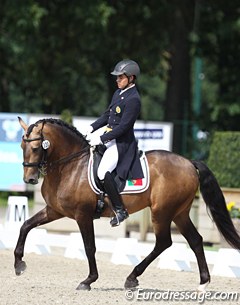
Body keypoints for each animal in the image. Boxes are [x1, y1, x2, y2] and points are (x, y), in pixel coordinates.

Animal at [15, 116, 240, 290]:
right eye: (22, 146)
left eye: (36, 147)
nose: (30, 179)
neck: (70, 166)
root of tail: (189, 163)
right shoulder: (54, 211)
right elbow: (25, 225)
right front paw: (18, 264)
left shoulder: (82, 215)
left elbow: (89, 247)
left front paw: (89, 280)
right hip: (180, 213)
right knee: (195, 240)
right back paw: (203, 282)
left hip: (162, 212)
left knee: (164, 242)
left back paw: (132, 277)